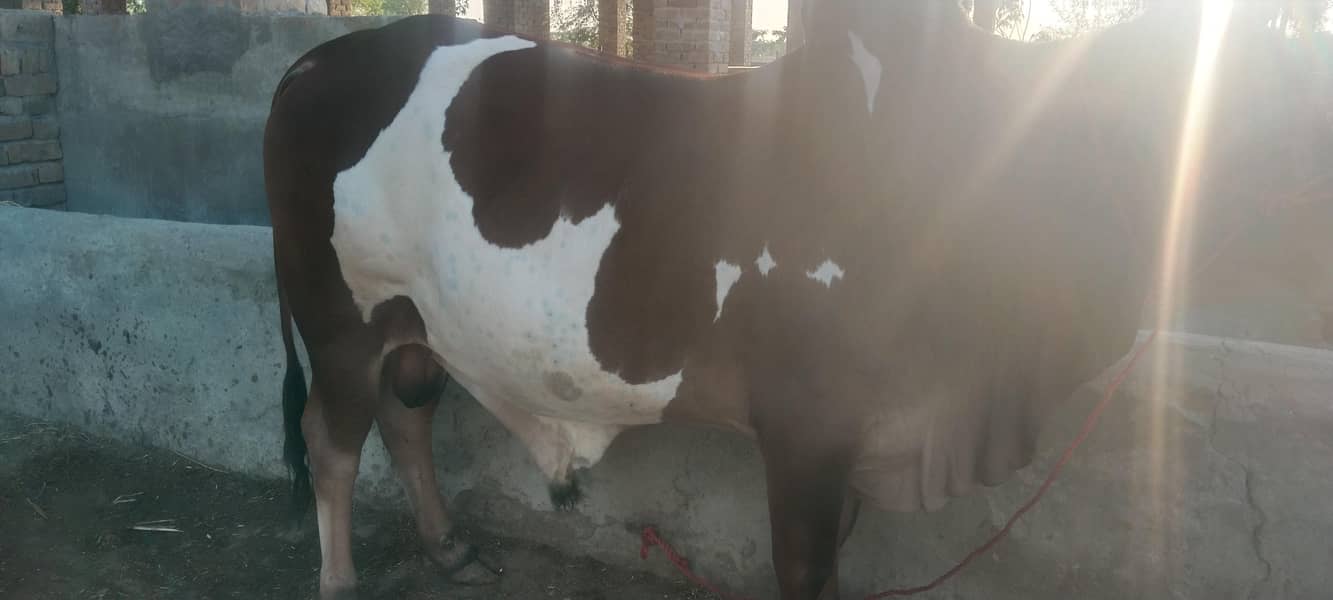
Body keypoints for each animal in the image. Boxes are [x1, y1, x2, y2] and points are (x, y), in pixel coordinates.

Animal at [262, 2, 1331, 599]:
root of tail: (314, 61)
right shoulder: (807, 433)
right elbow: (807, 572)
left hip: (411, 319)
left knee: (409, 414)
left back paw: (447, 549)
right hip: (338, 313)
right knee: (333, 442)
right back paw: (339, 580)